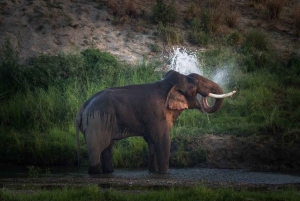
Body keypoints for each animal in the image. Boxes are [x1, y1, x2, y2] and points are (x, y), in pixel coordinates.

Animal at [74, 70, 234, 174]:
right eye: (196, 82)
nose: (205, 97)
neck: (168, 85)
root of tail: (82, 108)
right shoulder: (158, 114)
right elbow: (163, 142)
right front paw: (163, 174)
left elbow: (152, 142)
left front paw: (153, 172)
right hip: (96, 122)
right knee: (96, 150)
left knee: (107, 148)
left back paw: (109, 172)